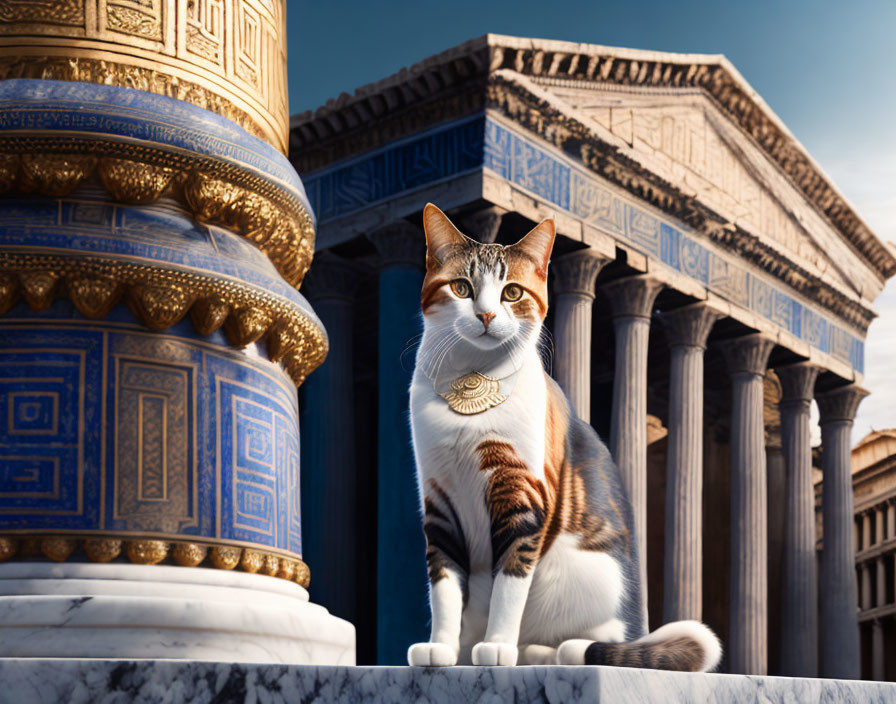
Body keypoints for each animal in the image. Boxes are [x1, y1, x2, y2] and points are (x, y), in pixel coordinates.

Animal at [406, 205, 720, 672]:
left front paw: (497, 646)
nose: (485, 316)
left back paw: (536, 651)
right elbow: (443, 584)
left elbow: (510, 580)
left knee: (589, 639)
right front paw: (441, 647)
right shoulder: (438, 499)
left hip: (587, 572)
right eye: (461, 288)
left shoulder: (522, 496)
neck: (470, 380)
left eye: (512, 293)